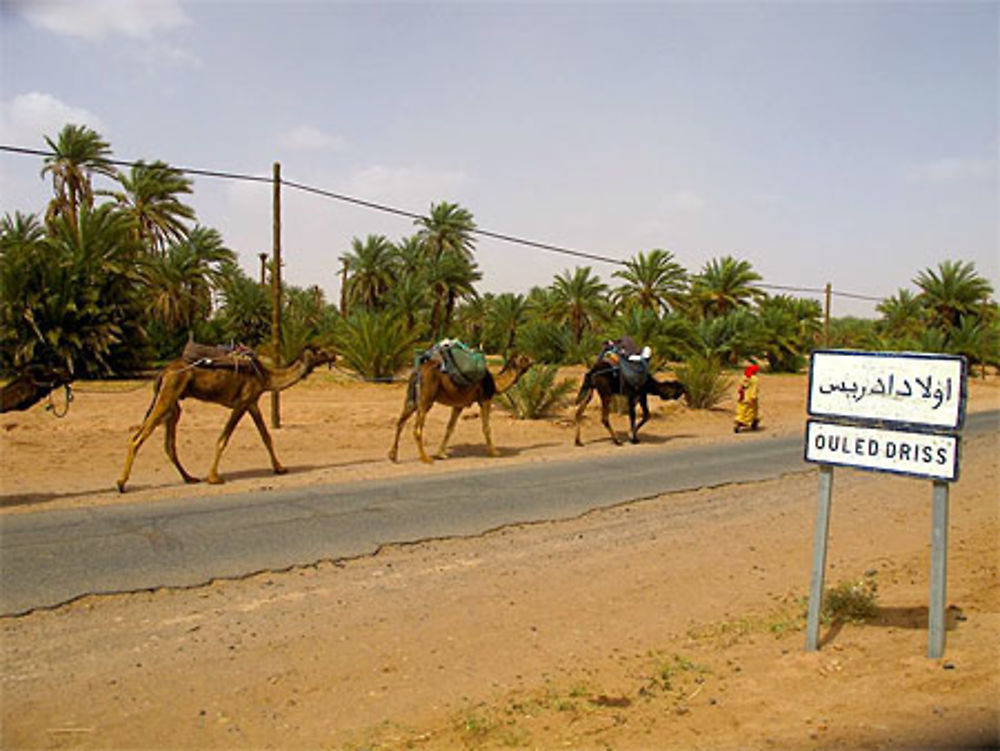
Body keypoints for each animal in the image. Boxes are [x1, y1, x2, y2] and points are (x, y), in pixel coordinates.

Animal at [115, 342, 338, 494]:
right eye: (320, 351)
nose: (334, 355)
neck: (267, 377)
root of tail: (164, 372)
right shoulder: (242, 403)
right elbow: (224, 438)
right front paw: (214, 478)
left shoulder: (252, 403)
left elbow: (266, 437)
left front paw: (280, 468)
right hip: (168, 393)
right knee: (138, 437)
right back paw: (121, 483)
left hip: (173, 404)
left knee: (169, 444)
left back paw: (190, 478)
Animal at [386, 352, 536, 464]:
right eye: (524, 358)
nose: (533, 360)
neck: (495, 383)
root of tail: (417, 372)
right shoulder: (485, 399)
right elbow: (486, 427)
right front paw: (494, 452)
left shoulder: (458, 405)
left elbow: (450, 428)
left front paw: (441, 454)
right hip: (426, 399)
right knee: (417, 428)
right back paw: (425, 458)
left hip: (412, 400)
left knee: (400, 422)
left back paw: (393, 455)